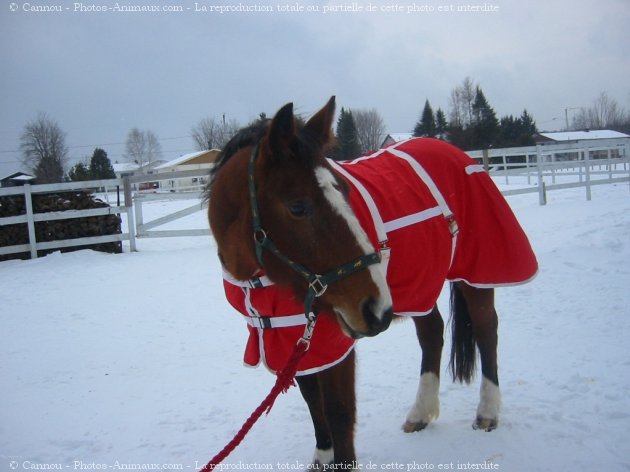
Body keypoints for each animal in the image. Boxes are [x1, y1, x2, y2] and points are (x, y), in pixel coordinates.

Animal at [207, 97, 540, 468]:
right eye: (297, 206)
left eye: (345, 191)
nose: (375, 309)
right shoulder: (296, 337)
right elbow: (313, 402)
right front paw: (322, 456)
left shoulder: (334, 341)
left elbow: (339, 413)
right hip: (421, 286)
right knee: (432, 334)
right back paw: (420, 413)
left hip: (477, 270)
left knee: (486, 330)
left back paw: (488, 412)